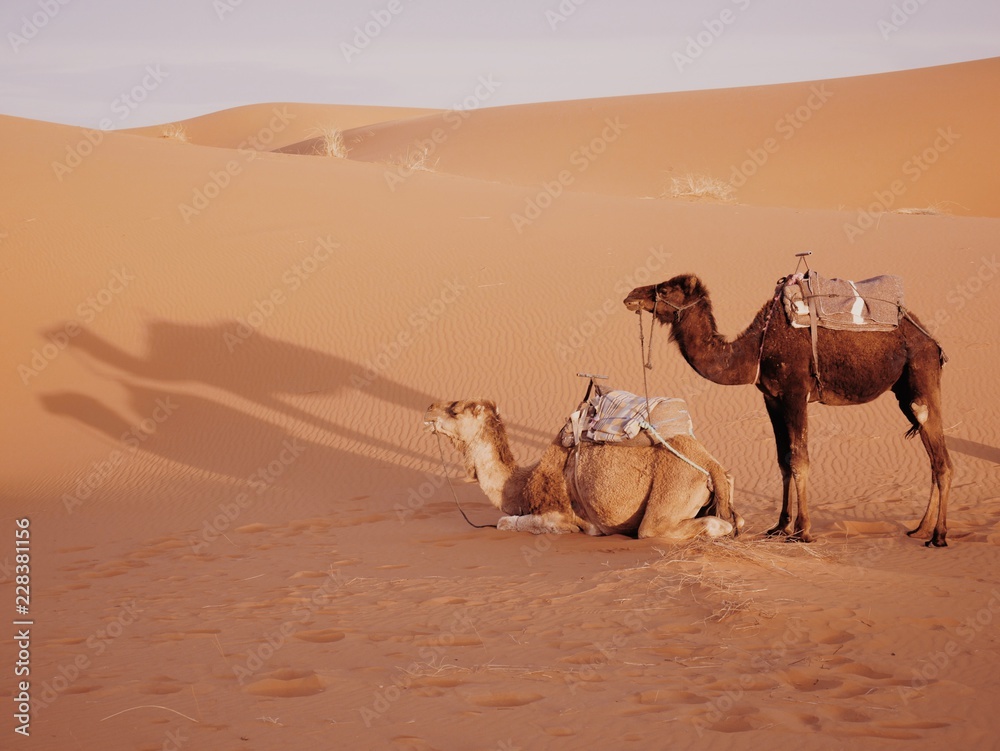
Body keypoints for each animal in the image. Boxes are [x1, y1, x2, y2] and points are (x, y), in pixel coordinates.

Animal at [423, 399, 743, 540]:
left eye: (454, 409)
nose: (428, 408)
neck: (523, 483)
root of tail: (710, 464)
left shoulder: (559, 515)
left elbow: (506, 522)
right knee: (735, 519)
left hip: (675, 487)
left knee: (658, 529)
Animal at [623, 274, 952, 546]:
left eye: (665, 289)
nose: (630, 295)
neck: (755, 349)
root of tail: (932, 341)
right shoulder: (772, 398)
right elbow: (783, 460)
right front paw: (781, 526)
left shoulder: (795, 394)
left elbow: (799, 460)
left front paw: (803, 530)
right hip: (904, 392)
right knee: (934, 458)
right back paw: (920, 529)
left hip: (922, 375)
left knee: (941, 460)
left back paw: (938, 536)